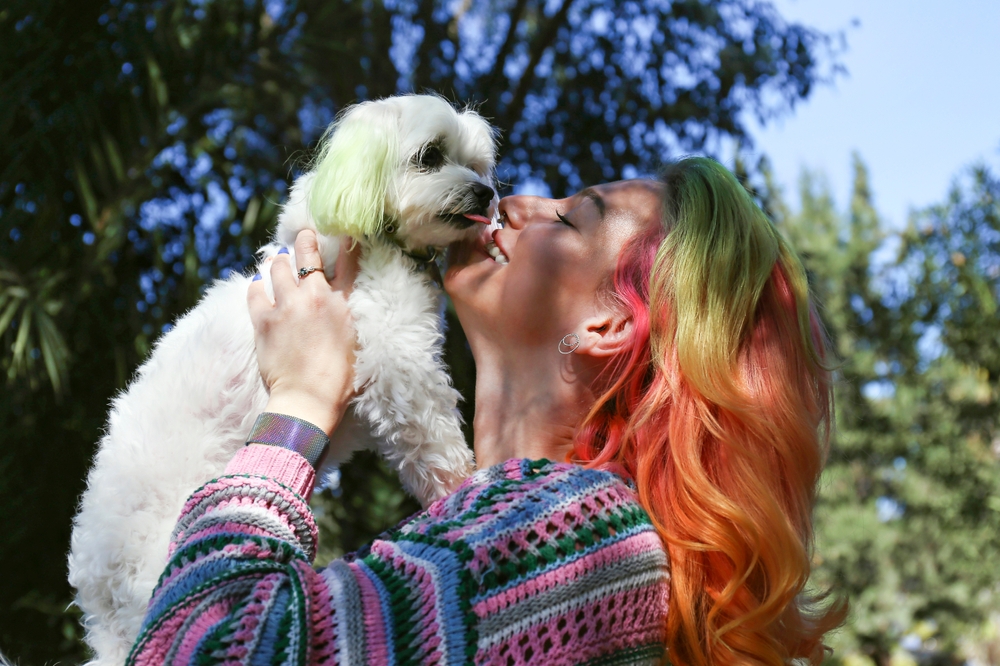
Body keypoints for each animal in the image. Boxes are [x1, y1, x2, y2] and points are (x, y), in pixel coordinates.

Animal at [68, 94, 500, 664]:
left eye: (477, 164)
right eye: (430, 156)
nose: (486, 192)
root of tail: (103, 604)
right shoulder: (396, 357)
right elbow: (434, 440)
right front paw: (467, 486)